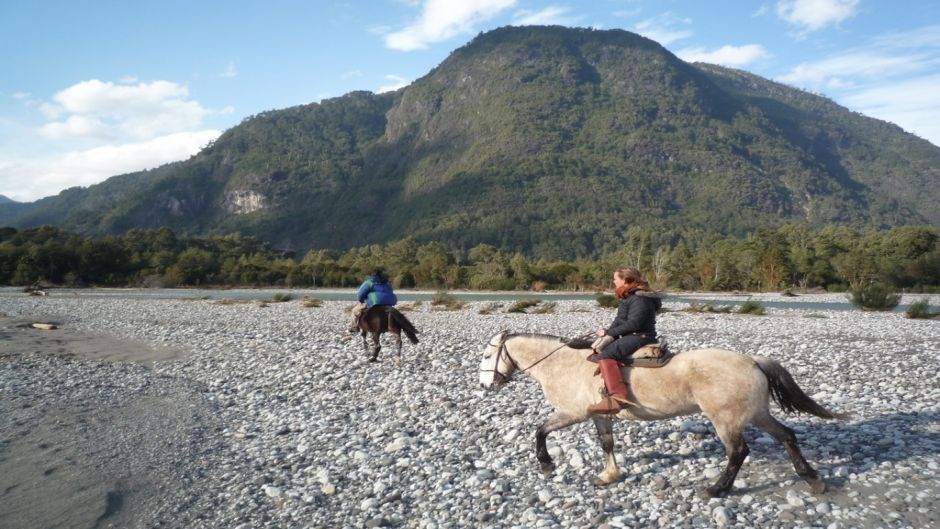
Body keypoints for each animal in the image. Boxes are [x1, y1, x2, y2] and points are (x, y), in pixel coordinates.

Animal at [478, 332, 844, 498]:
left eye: (485, 354)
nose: (484, 385)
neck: (562, 365)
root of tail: (753, 361)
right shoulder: (598, 415)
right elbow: (606, 443)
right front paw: (609, 475)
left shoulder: (574, 412)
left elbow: (541, 430)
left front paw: (546, 463)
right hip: (756, 414)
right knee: (786, 436)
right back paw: (812, 478)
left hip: (726, 420)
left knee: (738, 452)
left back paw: (716, 489)